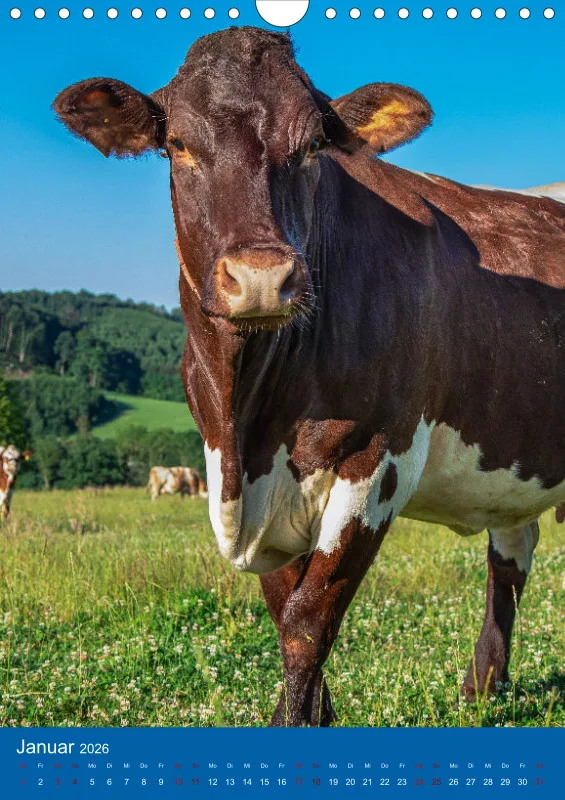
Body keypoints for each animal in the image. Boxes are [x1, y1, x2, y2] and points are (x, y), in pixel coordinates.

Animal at [54, 27, 565, 726]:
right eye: (178, 143)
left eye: (313, 146)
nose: (261, 276)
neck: (251, 416)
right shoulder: (246, 486)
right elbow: (281, 609)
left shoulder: (379, 460)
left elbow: (306, 624)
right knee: (510, 557)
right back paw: (483, 686)